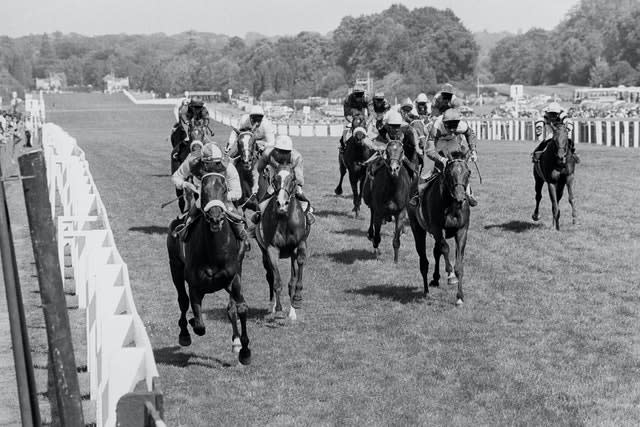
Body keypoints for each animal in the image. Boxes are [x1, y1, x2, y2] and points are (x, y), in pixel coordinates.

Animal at [166, 170, 251, 364]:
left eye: (225, 189)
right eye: (202, 192)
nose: (215, 218)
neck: (214, 252)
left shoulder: (234, 278)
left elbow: (240, 308)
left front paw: (244, 351)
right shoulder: (195, 286)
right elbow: (199, 324)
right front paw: (191, 324)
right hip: (175, 267)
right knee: (182, 301)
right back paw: (184, 333)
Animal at [256, 164, 314, 320]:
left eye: (292, 179)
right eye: (275, 179)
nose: (282, 203)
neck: (284, 219)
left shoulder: (300, 244)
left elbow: (298, 267)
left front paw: (297, 300)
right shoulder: (271, 249)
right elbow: (276, 280)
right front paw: (279, 309)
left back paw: (292, 310)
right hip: (264, 253)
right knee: (270, 276)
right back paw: (272, 307)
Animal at [408, 152, 472, 306]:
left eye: (468, 172)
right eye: (449, 173)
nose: (460, 197)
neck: (452, 205)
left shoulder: (462, 230)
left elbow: (459, 264)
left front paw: (460, 297)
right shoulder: (437, 229)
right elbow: (446, 249)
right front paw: (451, 275)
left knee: (436, 252)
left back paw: (435, 279)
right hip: (417, 228)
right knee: (424, 260)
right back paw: (426, 291)